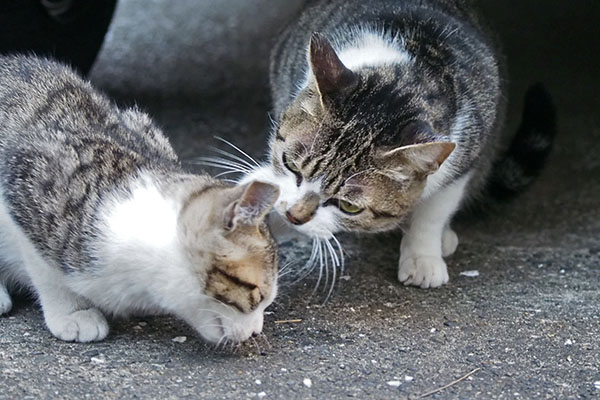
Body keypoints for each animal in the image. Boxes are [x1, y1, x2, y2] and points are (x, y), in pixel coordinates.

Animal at [240, 0, 556, 288]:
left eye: (348, 206)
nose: (294, 215)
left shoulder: (468, 152)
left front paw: (422, 257)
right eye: (290, 165)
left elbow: (435, 208)